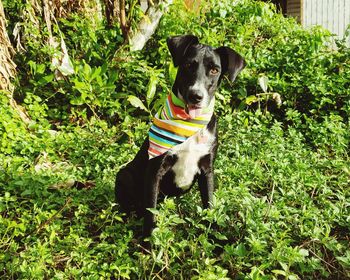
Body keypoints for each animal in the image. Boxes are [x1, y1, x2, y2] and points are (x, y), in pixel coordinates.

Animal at [114, 34, 243, 241]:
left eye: (215, 70)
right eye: (189, 65)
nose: (196, 96)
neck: (189, 123)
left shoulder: (207, 169)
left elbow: (210, 206)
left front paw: (214, 237)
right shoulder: (155, 170)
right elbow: (151, 213)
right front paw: (148, 244)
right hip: (124, 174)